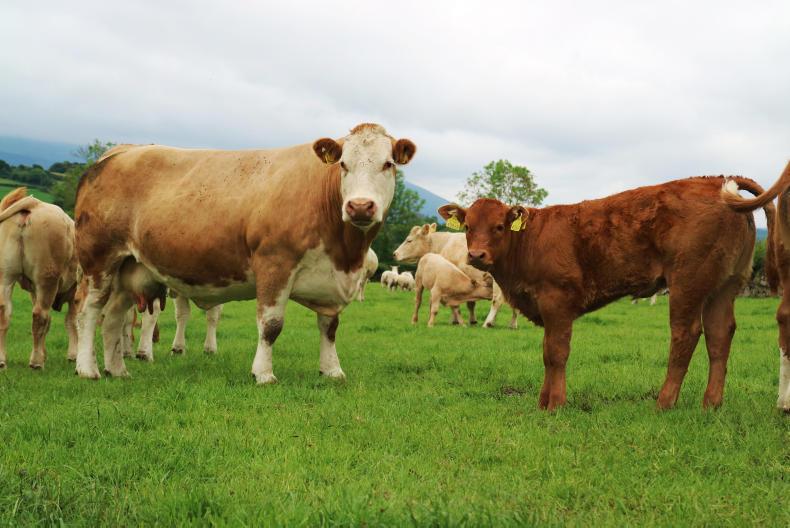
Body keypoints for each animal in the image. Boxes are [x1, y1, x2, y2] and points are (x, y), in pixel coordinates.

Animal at [0, 188, 79, 369]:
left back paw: (2, 360)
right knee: (39, 315)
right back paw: (36, 362)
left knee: (4, 312)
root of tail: (35, 204)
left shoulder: (33, 291)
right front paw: (74, 355)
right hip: (47, 278)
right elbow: (72, 321)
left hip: (6, 275)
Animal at [73, 124, 416, 382]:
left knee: (113, 317)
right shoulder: (275, 264)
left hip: (129, 269)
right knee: (89, 311)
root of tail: (118, 153)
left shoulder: (331, 281)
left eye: (388, 164)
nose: (360, 206)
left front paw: (332, 370)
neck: (344, 251)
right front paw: (263, 373)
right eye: (343, 164)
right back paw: (88, 369)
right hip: (98, 261)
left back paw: (117, 369)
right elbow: (271, 325)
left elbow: (329, 327)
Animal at [439, 172, 785, 411]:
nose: (476, 255)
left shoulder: (557, 301)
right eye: (467, 226)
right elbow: (547, 353)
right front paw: (542, 401)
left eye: (499, 226)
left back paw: (664, 402)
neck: (529, 242)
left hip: (688, 282)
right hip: (724, 285)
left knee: (685, 334)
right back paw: (710, 404)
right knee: (719, 335)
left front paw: (556, 404)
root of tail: (716, 180)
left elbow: (556, 353)